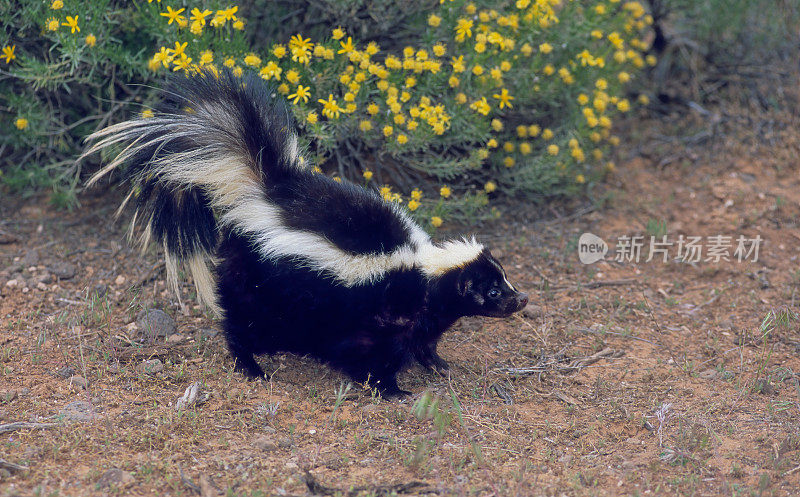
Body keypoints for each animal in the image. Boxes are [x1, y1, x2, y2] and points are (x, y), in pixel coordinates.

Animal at [84, 69, 528, 396]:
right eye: (492, 291)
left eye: (504, 279)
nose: (521, 299)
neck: (421, 270)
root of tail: (267, 191)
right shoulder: (376, 311)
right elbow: (372, 355)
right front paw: (392, 389)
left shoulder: (422, 315)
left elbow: (423, 339)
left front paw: (438, 364)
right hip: (255, 278)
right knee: (239, 321)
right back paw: (251, 366)